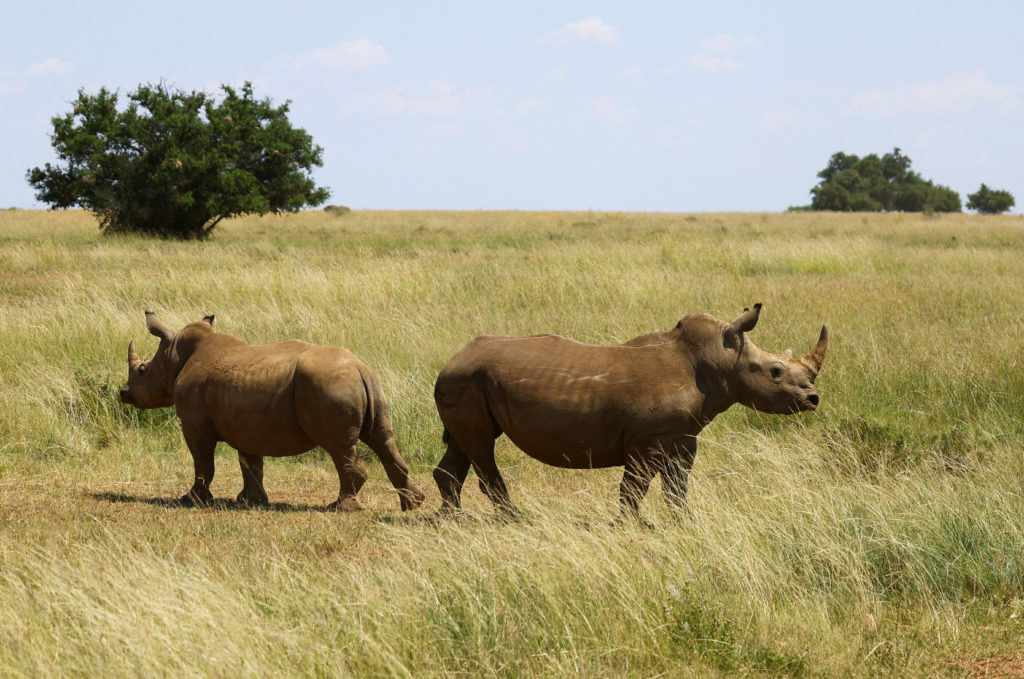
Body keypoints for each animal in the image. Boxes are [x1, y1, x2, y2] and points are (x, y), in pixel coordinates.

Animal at [120, 312, 425, 511]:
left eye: (142, 370)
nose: (123, 393)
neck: (174, 357)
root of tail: (361, 368)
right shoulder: (245, 420)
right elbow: (250, 462)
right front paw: (249, 501)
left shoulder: (194, 423)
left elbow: (203, 462)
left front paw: (192, 500)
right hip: (366, 386)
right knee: (382, 439)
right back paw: (412, 504)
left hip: (328, 385)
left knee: (339, 447)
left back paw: (340, 507)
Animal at [432, 303, 827, 519]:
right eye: (775, 372)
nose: (813, 399)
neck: (720, 359)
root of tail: (451, 358)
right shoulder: (648, 438)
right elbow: (634, 487)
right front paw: (630, 527)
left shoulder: (683, 436)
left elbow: (677, 487)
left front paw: (685, 523)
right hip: (464, 380)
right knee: (482, 447)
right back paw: (514, 520)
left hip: (467, 381)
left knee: (466, 447)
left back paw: (455, 520)